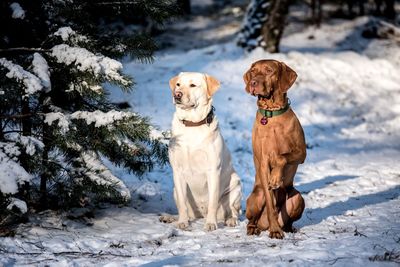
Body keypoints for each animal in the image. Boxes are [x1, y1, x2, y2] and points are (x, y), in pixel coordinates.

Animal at [244, 59, 306, 240]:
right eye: (253, 71)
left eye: (269, 70)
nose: (253, 83)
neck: (271, 115)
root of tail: (263, 225)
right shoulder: (263, 162)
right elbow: (271, 204)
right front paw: (275, 231)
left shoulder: (302, 152)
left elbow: (281, 156)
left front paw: (276, 178)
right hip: (256, 197)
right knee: (252, 219)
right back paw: (256, 228)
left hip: (298, 198)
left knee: (288, 221)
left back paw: (289, 228)